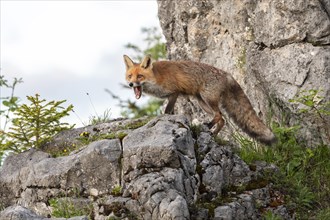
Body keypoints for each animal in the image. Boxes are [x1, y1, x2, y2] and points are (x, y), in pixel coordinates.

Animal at [123, 54, 276, 145]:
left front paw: (165, 118)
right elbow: (170, 112)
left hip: (208, 99)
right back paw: (213, 134)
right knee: (222, 119)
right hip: (202, 103)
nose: (130, 84)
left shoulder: (174, 93)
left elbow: (167, 110)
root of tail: (227, 74)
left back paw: (208, 126)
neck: (156, 76)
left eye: (140, 76)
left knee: (219, 115)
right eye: (130, 76)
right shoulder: (170, 96)